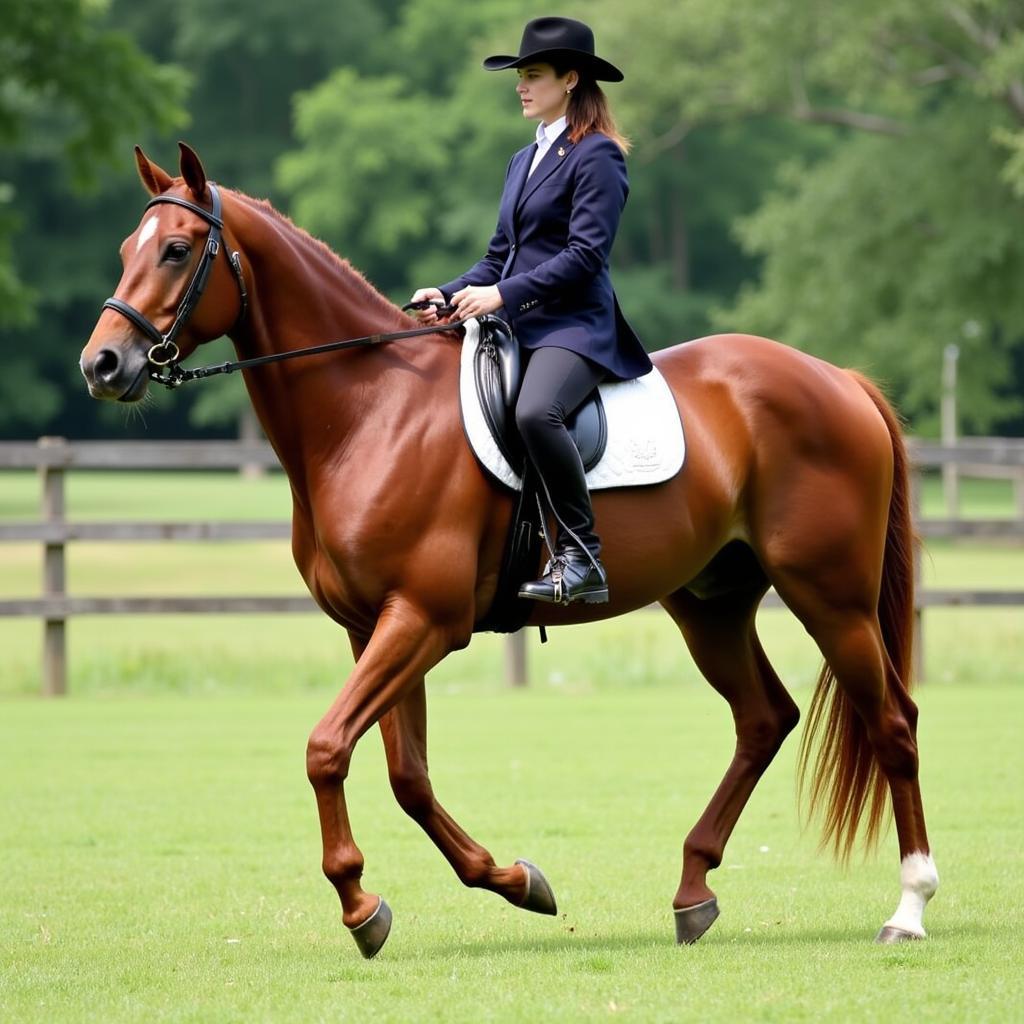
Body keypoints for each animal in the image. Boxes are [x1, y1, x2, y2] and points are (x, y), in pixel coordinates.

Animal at [83, 144, 937, 958]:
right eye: (126, 247)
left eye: (176, 250)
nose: (102, 365)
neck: (370, 410)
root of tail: (840, 379)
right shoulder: (374, 627)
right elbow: (408, 777)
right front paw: (515, 881)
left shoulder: (423, 621)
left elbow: (326, 748)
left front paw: (359, 903)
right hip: (710, 603)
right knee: (763, 720)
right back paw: (694, 890)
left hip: (831, 595)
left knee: (893, 724)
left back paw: (909, 908)